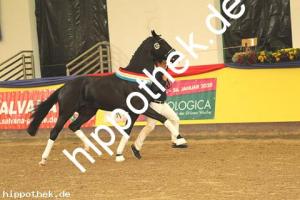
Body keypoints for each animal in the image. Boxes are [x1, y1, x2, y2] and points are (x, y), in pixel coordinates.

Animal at [28, 30, 188, 165]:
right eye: (161, 43)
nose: (176, 57)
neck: (137, 79)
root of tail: (64, 86)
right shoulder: (140, 107)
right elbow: (163, 119)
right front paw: (181, 140)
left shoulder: (134, 112)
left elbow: (127, 131)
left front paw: (119, 155)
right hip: (66, 111)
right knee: (55, 131)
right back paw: (43, 159)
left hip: (88, 111)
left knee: (74, 126)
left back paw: (88, 148)